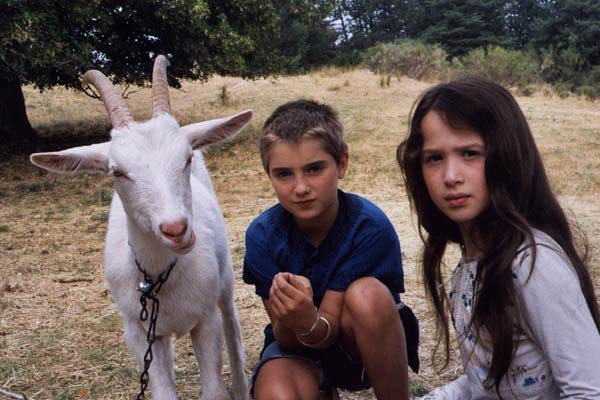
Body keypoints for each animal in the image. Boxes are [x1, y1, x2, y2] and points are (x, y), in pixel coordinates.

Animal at [29, 55, 251, 400]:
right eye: (117, 171)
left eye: (186, 158)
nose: (176, 229)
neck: (160, 278)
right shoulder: (138, 330)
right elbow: (162, 391)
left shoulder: (205, 320)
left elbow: (214, 389)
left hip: (225, 279)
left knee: (232, 326)